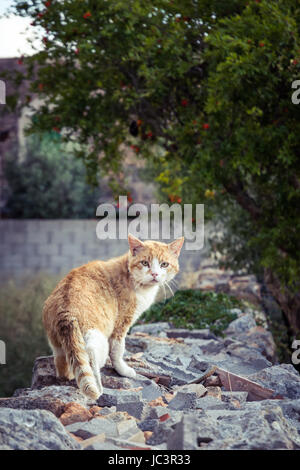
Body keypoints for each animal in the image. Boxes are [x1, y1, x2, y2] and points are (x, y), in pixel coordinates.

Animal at [42, 235, 183, 400]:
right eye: (145, 263)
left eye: (164, 264)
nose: (154, 274)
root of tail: (66, 311)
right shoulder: (121, 324)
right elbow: (117, 350)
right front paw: (123, 370)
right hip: (96, 339)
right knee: (91, 361)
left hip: (58, 344)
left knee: (63, 365)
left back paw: (69, 375)